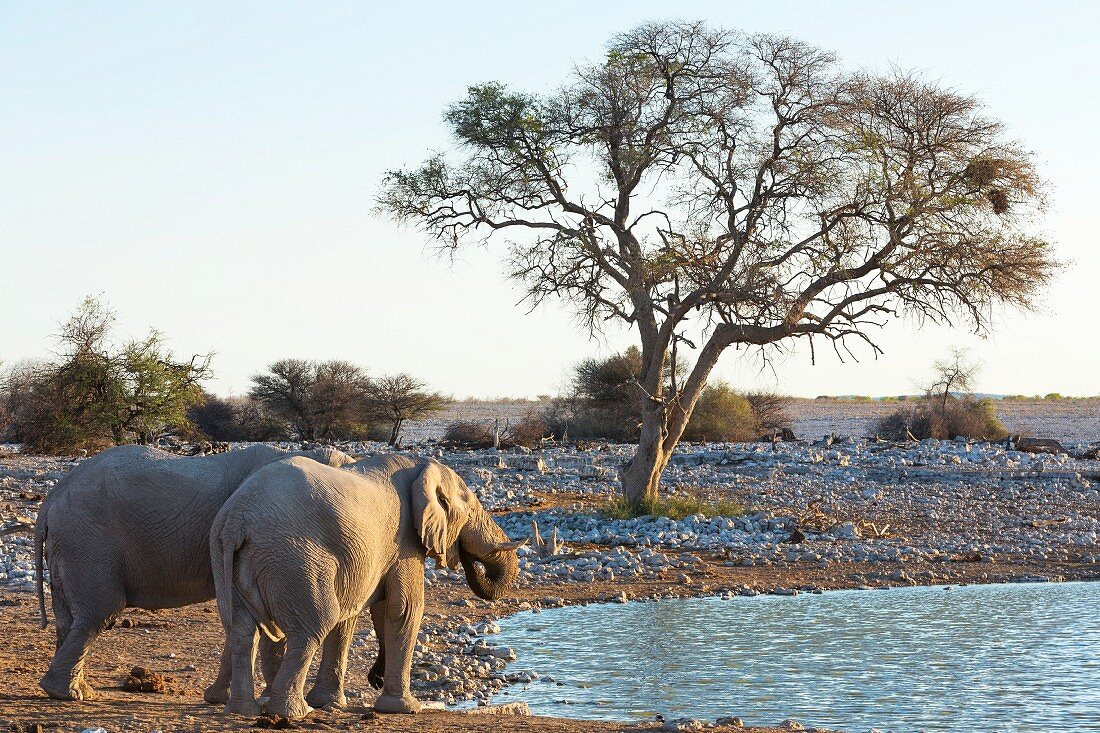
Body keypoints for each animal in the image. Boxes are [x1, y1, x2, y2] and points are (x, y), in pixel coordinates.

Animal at [34, 435, 354, 699]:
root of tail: (51, 499)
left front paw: (219, 698)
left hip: (69, 545)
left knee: (69, 617)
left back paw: (71, 689)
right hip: (87, 543)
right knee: (100, 612)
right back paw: (69, 693)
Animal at [213, 451, 523, 713]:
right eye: (469, 509)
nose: (375, 678)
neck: (421, 466)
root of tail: (235, 519)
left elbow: (354, 615)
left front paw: (330, 703)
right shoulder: (404, 541)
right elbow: (405, 608)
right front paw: (406, 708)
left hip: (233, 559)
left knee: (242, 631)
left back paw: (243, 710)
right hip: (293, 557)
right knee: (313, 626)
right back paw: (293, 713)